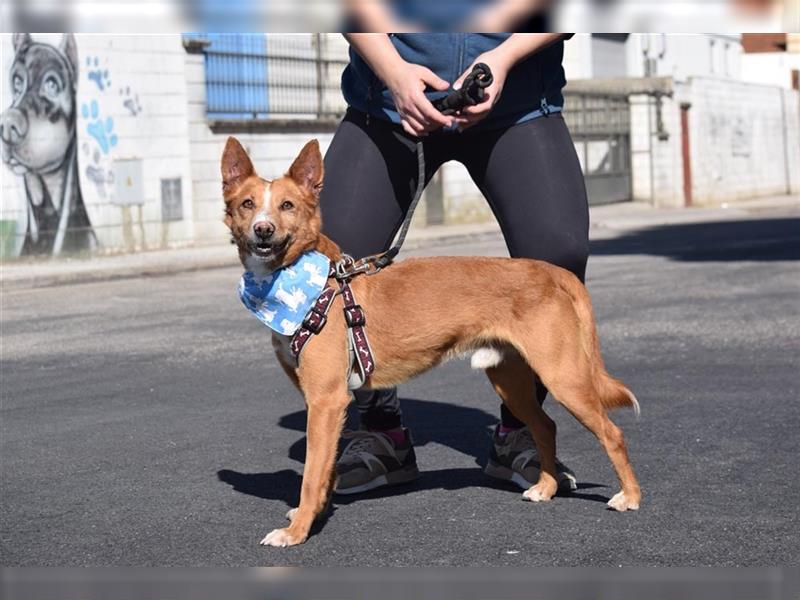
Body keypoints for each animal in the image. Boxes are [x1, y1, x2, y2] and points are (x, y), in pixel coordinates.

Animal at [220, 137, 644, 548]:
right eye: (247, 204)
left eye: (287, 206)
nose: (262, 230)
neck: (311, 281)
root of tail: (547, 270)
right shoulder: (319, 401)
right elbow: (323, 471)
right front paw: (315, 515)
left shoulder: (326, 400)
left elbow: (311, 475)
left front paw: (297, 531)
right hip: (510, 380)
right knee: (546, 427)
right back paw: (546, 486)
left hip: (563, 376)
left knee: (612, 433)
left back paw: (630, 496)